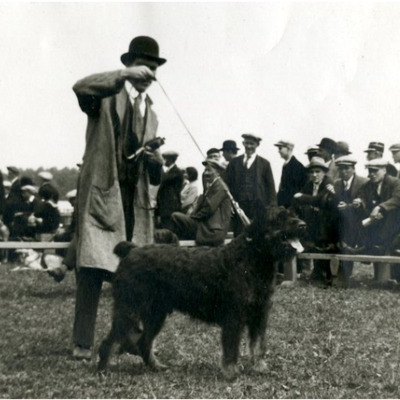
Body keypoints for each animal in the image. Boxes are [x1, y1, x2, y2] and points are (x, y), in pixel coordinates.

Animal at [98, 206, 304, 378]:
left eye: (292, 214)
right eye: (279, 218)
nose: (303, 224)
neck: (252, 257)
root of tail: (132, 251)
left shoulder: (260, 315)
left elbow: (258, 345)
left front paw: (259, 367)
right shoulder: (234, 316)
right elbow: (232, 347)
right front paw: (231, 372)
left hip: (155, 314)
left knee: (144, 342)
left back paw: (156, 367)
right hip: (129, 310)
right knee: (110, 340)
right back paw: (103, 368)